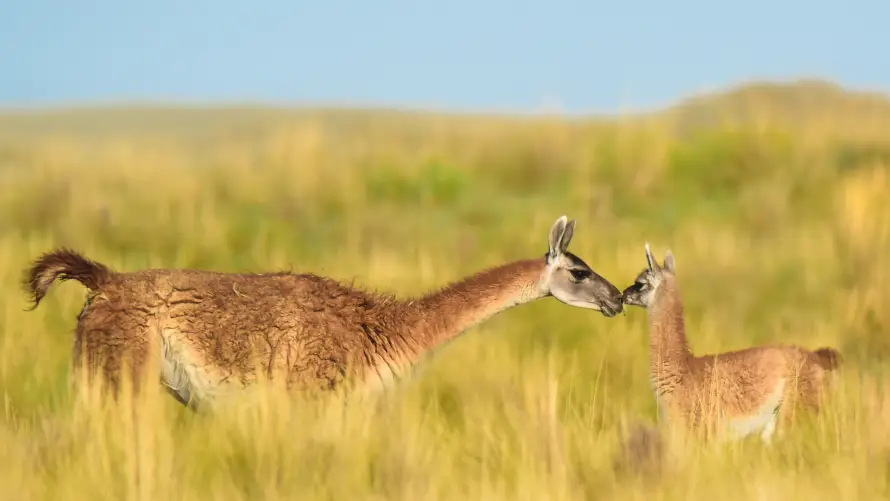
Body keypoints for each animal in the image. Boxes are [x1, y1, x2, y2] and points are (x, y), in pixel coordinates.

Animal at [23, 215, 625, 411]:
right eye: (578, 271)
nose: (618, 298)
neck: (392, 328)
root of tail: (104, 281)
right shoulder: (315, 397)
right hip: (119, 367)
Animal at [619, 244, 842, 444]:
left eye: (640, 283)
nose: (623, 295)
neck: (683, 369)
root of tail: (817, 356)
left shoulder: (699, 429)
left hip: (797, 407)